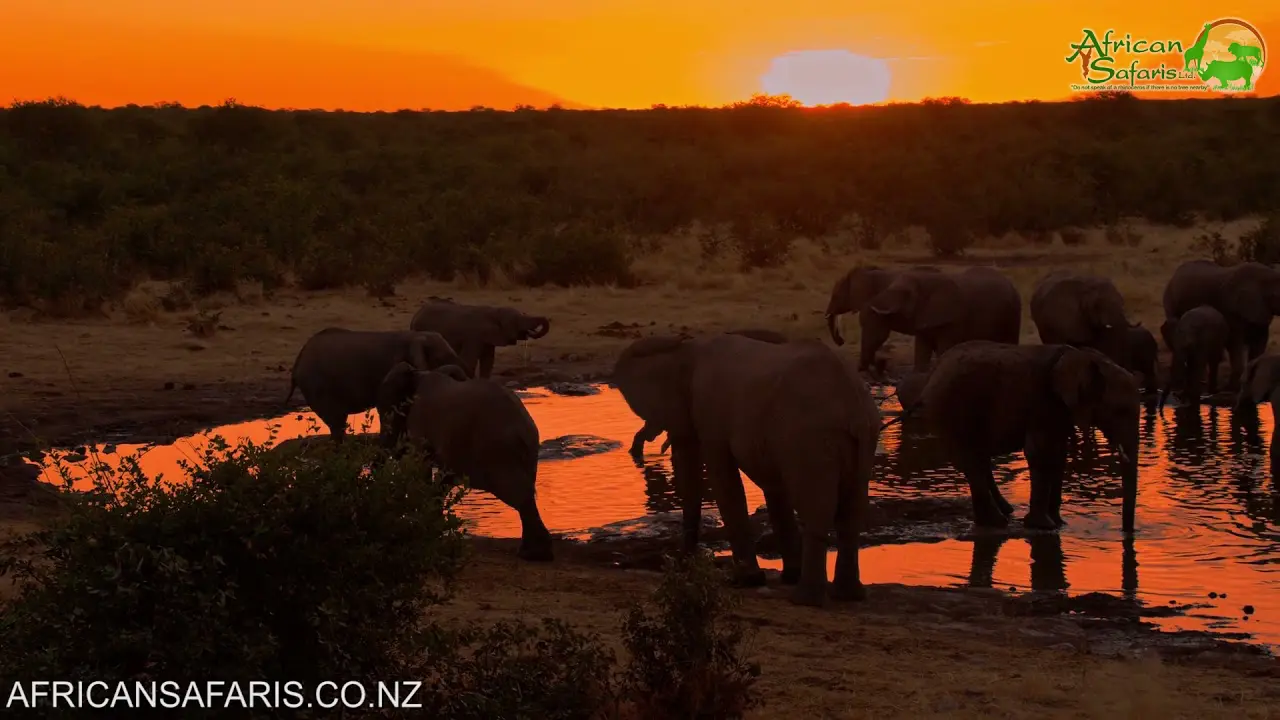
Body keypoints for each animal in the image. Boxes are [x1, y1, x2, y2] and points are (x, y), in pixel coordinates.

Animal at [377, 362, 554, 561]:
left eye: (386, 411)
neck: (417, 373)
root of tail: (523, 428)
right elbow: (444, 476)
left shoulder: (419, 421)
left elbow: (423, 465)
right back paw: (533, 552)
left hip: (497, 450)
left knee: (516, 492)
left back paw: (535, 555)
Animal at [409, 297, 550, 379]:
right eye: (518, 320)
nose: (530, 332)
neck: (494, 312)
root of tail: (415, 316)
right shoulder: (473, 336)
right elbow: (469, 359)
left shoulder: (488, 338)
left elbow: (488, 362)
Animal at [612, 332, 881, 606]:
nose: (681, 565)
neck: (688, 349)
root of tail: (854, 405)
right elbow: (775, 490)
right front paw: (788, 576)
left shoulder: (712, 414)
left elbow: (724, 479)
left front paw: (747, 580)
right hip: (862, 436)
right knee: (852, 511)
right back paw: (848, 595)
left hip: (812, 438)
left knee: (816, 508)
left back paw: (805, 599)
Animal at [863, 266, 1023, 372]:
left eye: (906, 293)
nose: (881, 364)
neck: (926, 280)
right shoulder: (923, 316)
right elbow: (922, 351)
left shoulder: (953, 318)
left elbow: (945, 349)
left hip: (1013, 314)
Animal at [892, 341, 1139, 532]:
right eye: (1120, 410)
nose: (1126, 532)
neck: (1084, 356)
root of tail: (934, 370)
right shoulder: (1041, 399)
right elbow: (1040, 452)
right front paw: (1043, 526)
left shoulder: (1060, 408)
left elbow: (1058, 454)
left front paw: (1059, 524)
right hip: (953, 407)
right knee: (971, 460)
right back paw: (996, 522)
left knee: (979, 459)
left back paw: (1004, 512)